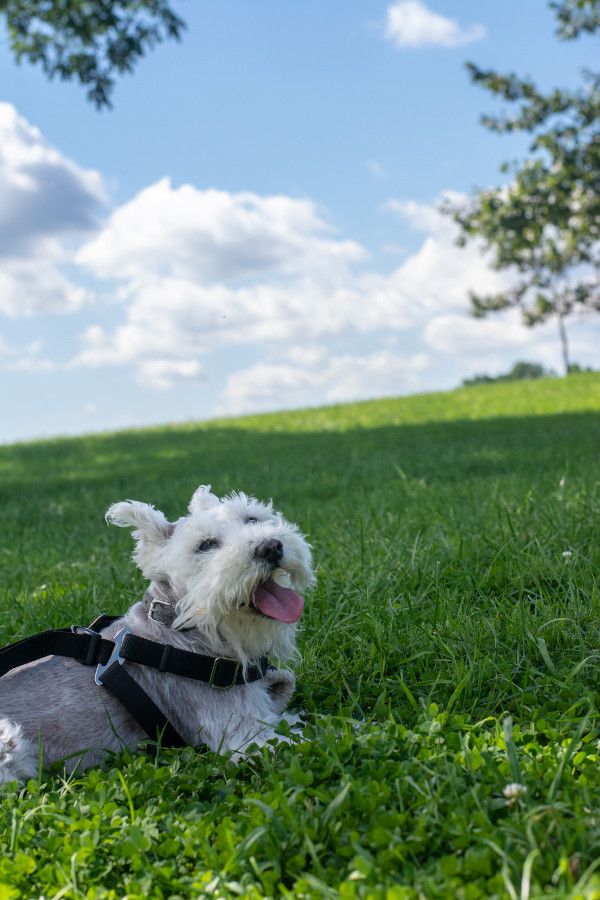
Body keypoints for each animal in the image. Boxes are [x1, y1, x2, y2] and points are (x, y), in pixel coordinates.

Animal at [0, 482, 316, 784]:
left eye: (252, 518)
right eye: (205, 545)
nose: (271, 547)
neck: (181, 627)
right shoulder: (246, 736)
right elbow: (314, 736)